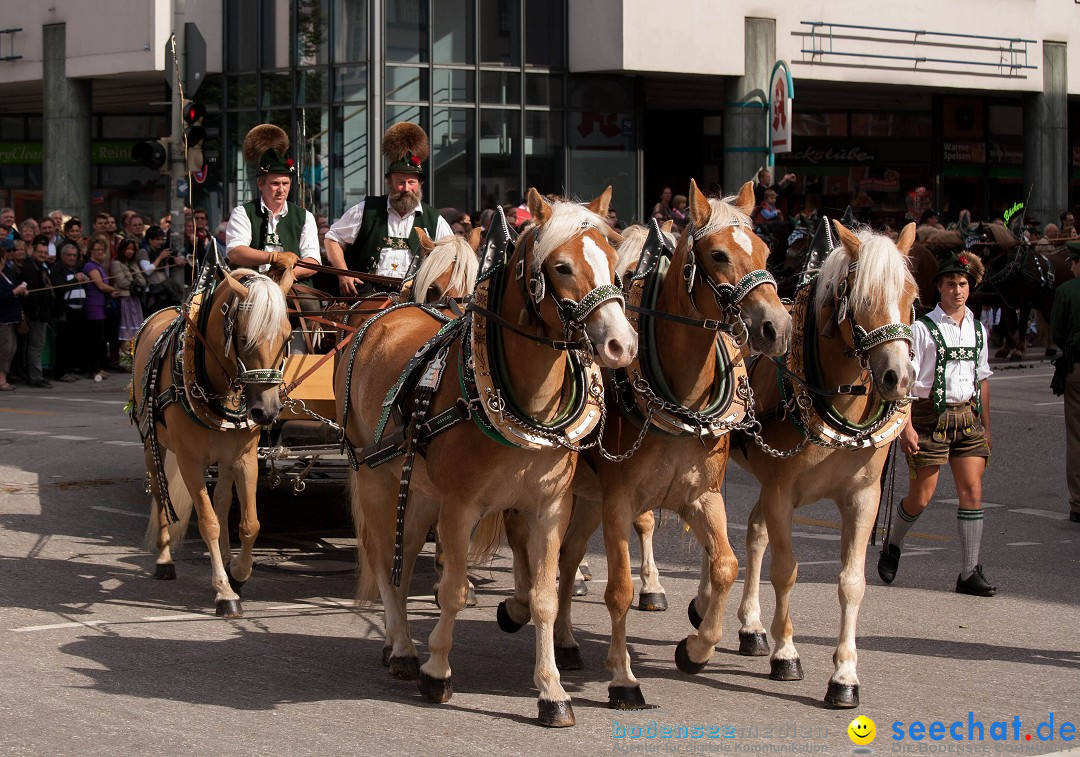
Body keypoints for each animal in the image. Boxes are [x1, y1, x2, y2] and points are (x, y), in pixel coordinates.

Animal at [130, 264, 295, 613]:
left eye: (287, 336)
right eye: (244, 338)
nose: (267, 411)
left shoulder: (244, 457)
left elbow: (249, 523)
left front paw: (240, 573)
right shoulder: (190, 461)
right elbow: (208, 522)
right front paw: (224, 590)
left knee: (222, 500)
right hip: (153, 445)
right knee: (161, 495)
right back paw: (165, 561)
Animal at [341, 185, 635, 721]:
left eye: (613, 263)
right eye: (561, 266)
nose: (621, 345)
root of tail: (386, 311)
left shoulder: (549, 507)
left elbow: (543, 595)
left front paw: (552, 692)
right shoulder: (460, 507)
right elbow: (453, 591)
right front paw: (437, 671)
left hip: (419, 491)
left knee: (404, 558)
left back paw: (398, 641)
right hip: (377, 478)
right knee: (383, 557)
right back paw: (404, 649)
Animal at [498, 178, 794, 708]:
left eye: (765, 250)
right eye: (718, 254)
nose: (776, 328)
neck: (678, 396)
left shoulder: (703, 496)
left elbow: (726, 565)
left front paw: (697, 648)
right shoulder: (619, 501)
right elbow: (618, 589)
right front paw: (623, 677)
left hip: (582, 497)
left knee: (567, 559)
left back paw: (565, 640)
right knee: (525, 545)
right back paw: (518, 605)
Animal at [725, 220, 920, 708]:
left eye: (911, 296)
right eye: (863, 298)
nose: (898, 378)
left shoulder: (863, 498)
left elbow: (852, 582)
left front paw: (845, 676)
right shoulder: (781, 492)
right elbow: (786, 571)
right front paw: (787, 653)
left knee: (754, 533)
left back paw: (752, 627)